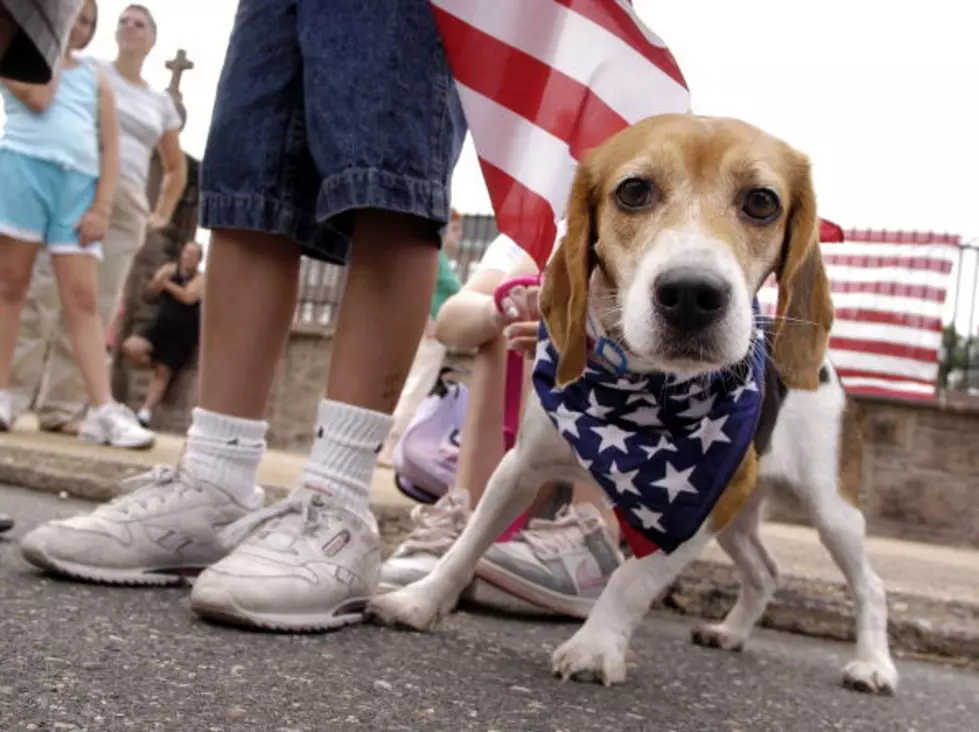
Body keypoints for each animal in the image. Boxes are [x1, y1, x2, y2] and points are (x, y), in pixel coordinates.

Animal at [372, 114, 900, 696]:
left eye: (762, 202)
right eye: (633, 191)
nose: (692, 294)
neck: (641, 393)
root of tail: (827, 370)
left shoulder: (698, 505)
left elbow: (632, 577)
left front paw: (596, 647)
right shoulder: (521, 467)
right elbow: (468, 542)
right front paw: (420, 600)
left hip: (829, 510)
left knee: (871, 586)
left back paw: (874, 666)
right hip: (742, 510)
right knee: (765, 572)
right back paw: (732, 633)